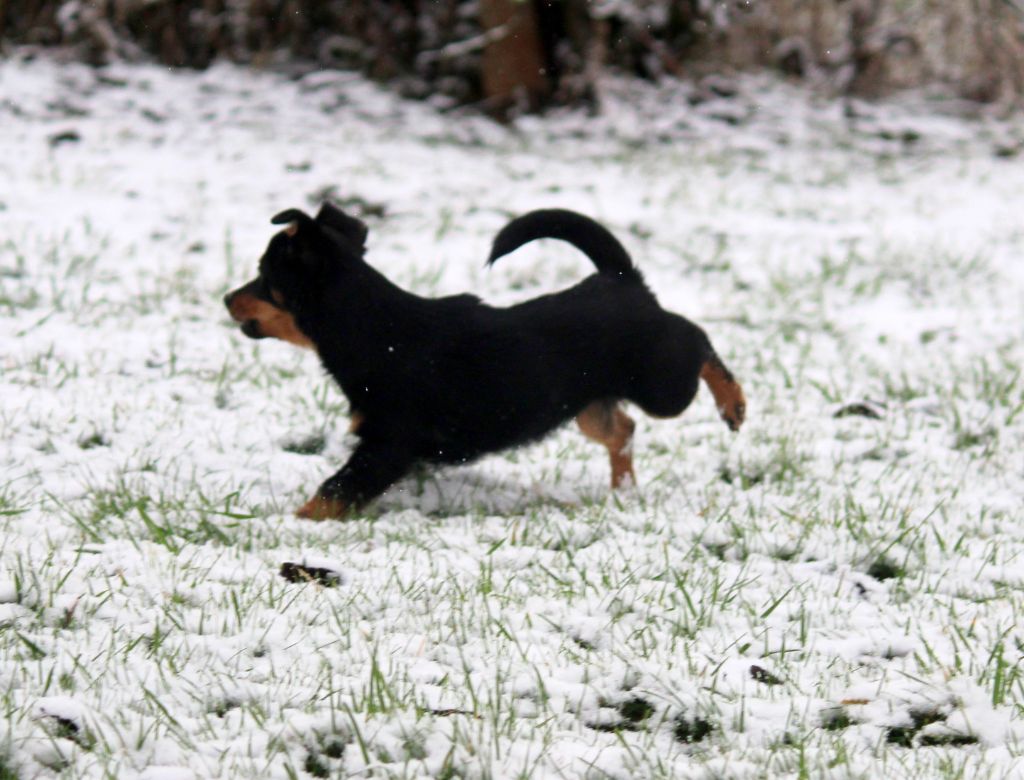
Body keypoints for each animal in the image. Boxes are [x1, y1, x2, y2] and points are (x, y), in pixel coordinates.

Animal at [226, 201, 745, 515]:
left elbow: (331, 493)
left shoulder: (386, 446)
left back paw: (733, 404)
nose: (227, 299)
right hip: (587, 406)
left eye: (263, 276)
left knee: (697, 341)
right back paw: (623, 491)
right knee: (623, 429)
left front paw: (291, 524)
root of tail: (619, 278)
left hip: (663, 381)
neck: (371, 328)